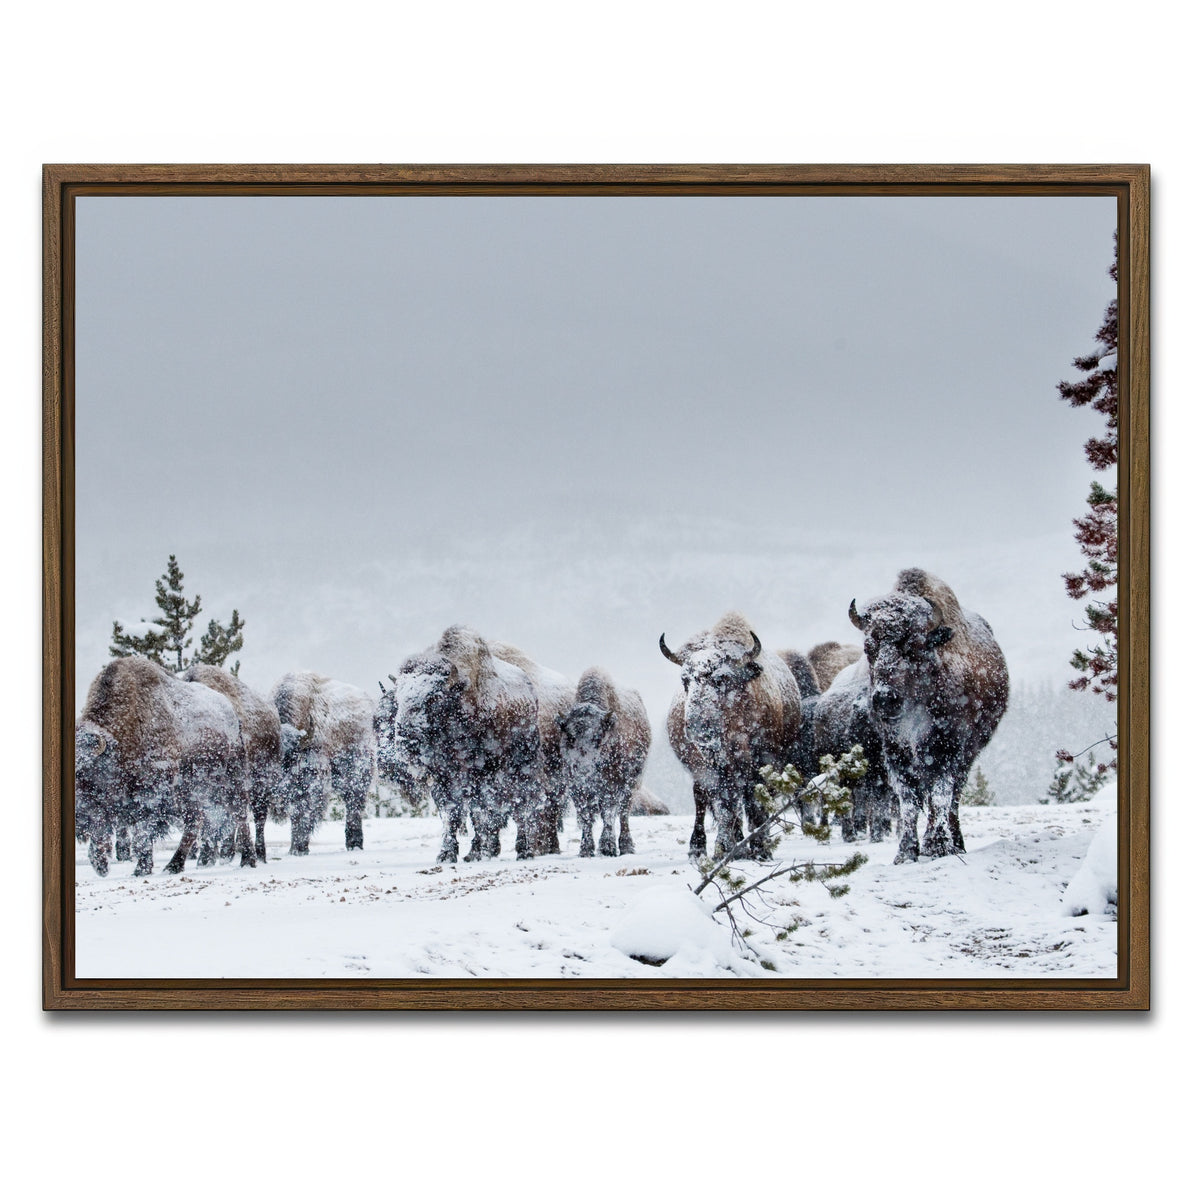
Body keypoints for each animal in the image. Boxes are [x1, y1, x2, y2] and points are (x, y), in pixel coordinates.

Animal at [75, 656, 254, 877]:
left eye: (83, 772)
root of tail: (231, 711)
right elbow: (103, 830)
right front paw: (101, 865)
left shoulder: (150, 793)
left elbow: (143, 832)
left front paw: (141, 869)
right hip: (191, 790)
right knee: (195, 821)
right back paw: (175, 865)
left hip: (231, 778)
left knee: (239, 813)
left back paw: (247, 860)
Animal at [272, 672, 376, 855]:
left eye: (288, 757)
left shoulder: (311, 778)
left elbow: (303, 810)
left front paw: (298, 848)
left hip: (358, 767)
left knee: (354, 802)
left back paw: (354, 844)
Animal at [556, 667, 651, 857]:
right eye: (570, 737)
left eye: (598, 737)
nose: (583, 770)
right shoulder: (577, 787)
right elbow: (586, 815)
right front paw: (585, 849)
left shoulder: (612, 785)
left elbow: (608, 813)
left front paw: (607, 847)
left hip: (632, 783)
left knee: (623, 813)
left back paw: (626, 846)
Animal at [661, 613, 808, 860]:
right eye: (685, 680)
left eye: (721, 679)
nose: (697, 727)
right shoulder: (712, 769)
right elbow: (724, 806)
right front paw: (724, 848)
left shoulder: (762, 763)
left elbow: (754, 803)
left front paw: (760, 848)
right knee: (703, 801)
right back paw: (699, 847)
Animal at [849, 568, 1009, 863]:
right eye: (868, 648)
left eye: (914, 646)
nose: (885, 699)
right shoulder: (896, 752)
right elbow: (909, 801)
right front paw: (905, 852)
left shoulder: (947, 748)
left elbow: (939, 795)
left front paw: (936, 846)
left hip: (970, 752)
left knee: (954, 796)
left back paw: (955, 843)